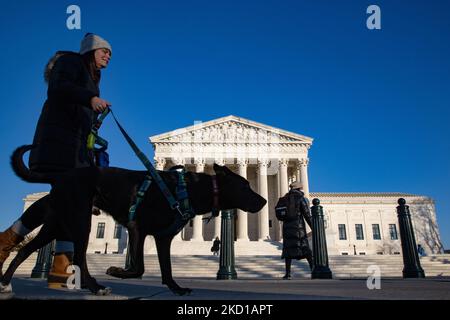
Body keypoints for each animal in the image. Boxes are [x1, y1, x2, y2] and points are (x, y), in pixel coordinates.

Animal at [0, 145, 268, 296]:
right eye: (245, 186)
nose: (265, 201)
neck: (188, 190)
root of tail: (62, 178)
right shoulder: (137, 228)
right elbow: (138, 267)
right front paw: (116, 270)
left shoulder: (163, 237)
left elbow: (166, 268)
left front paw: (177, 289)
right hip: (80, 223)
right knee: (78, 257)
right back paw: (96, 287)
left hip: (56, 225)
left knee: (24, 251)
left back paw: (5, 282)